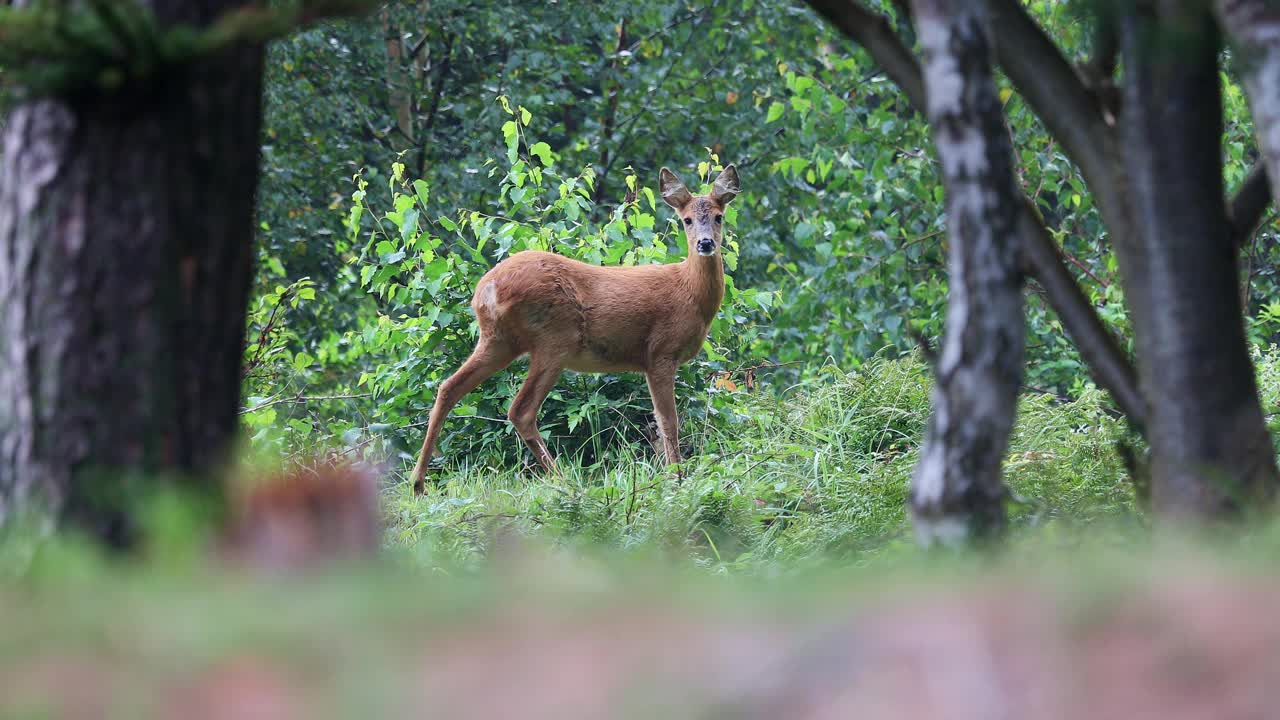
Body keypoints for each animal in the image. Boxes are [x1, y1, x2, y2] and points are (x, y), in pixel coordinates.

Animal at [409, 163, 742, 489]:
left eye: (719, 216)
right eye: (686, 220)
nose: (705, 243)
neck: (688, 291)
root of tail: (486, 289)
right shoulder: (660, 351)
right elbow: (668, 421)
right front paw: (677, 478)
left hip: (498, 340)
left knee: (448, 388)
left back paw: (418, 482)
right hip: (555, 338)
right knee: (520, 409)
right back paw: (563, 480)